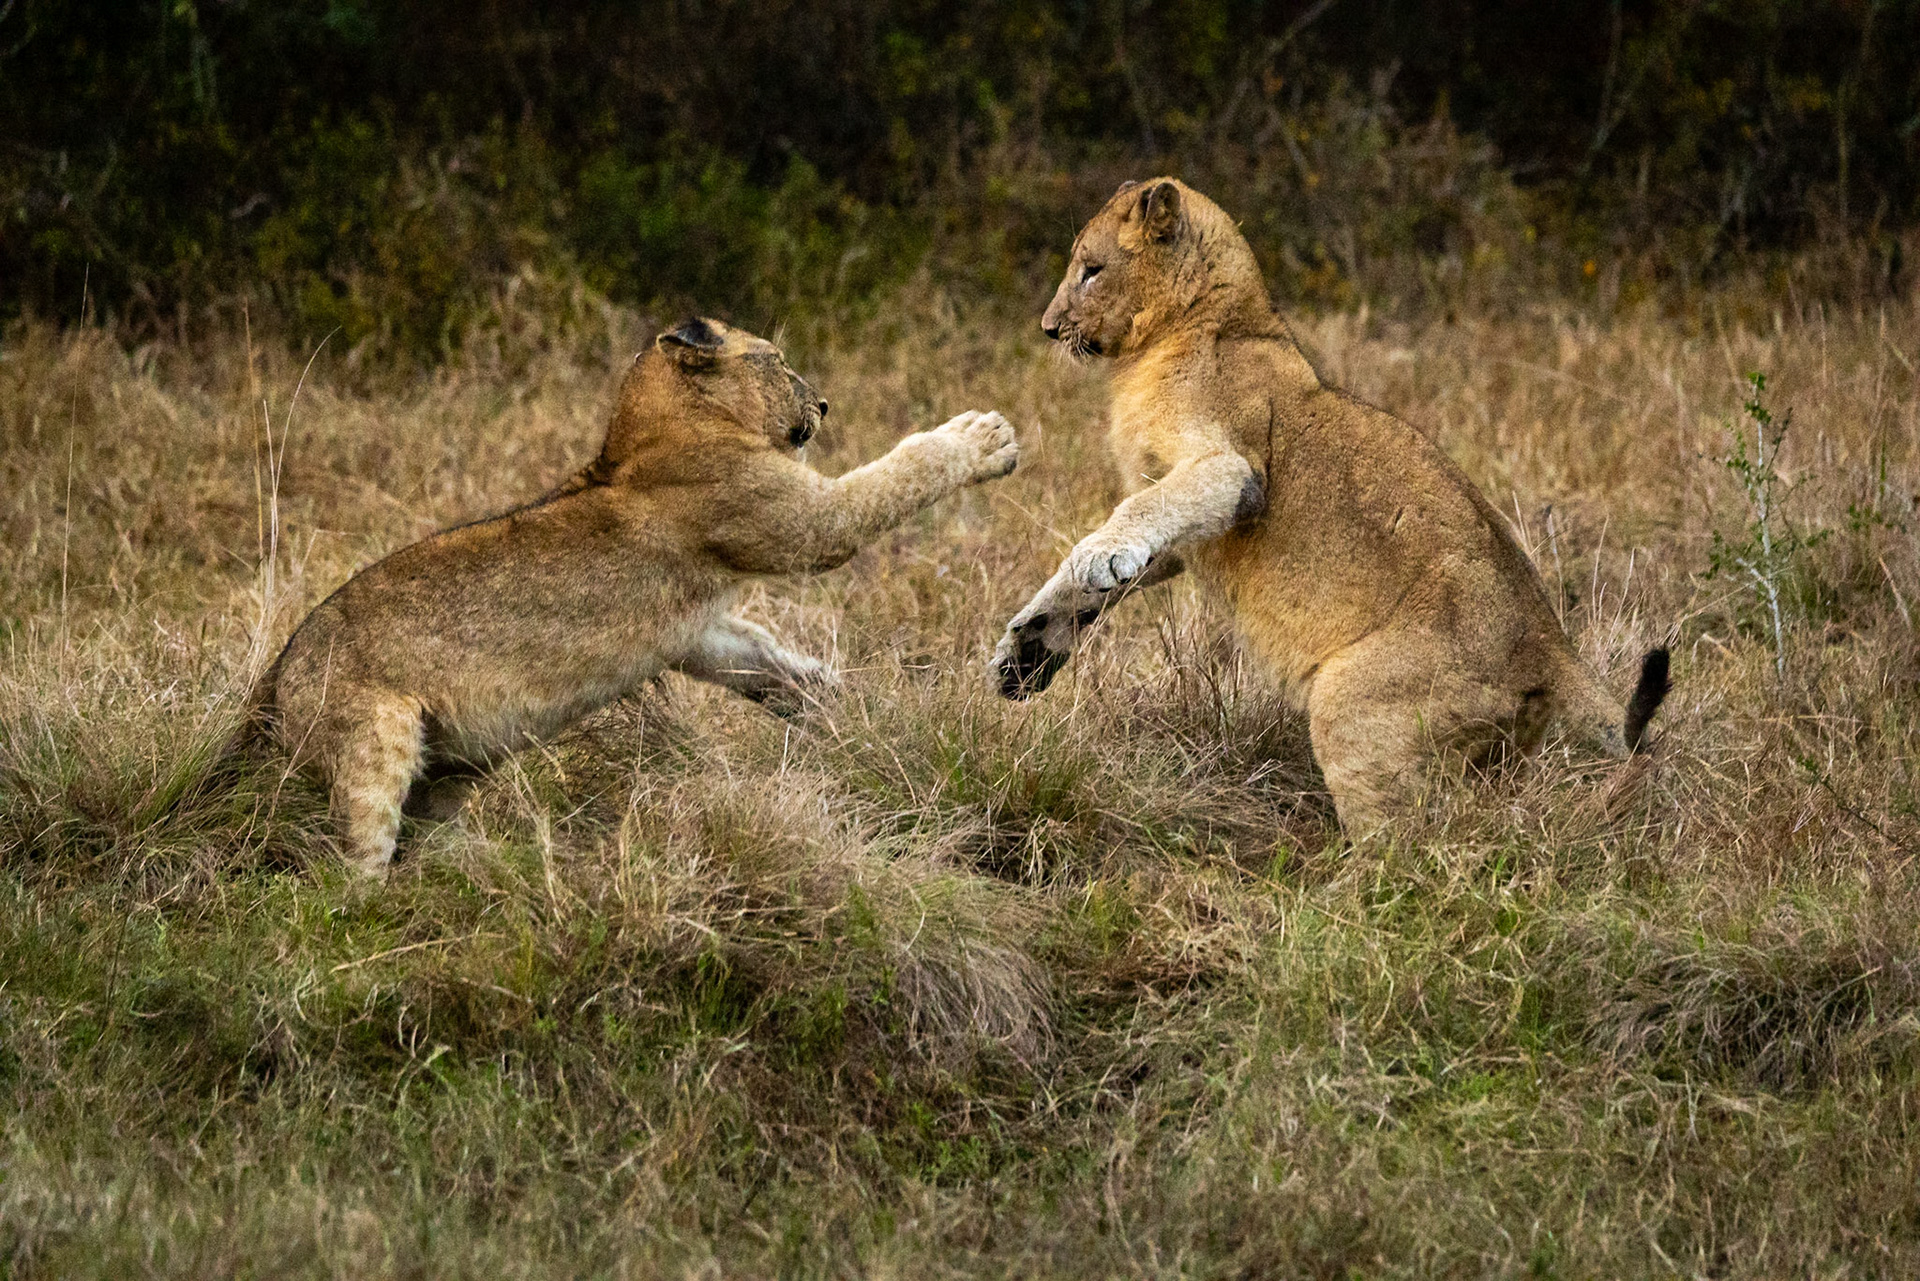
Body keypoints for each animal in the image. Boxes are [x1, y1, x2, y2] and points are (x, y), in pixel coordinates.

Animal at [267, 317, 1019, 875]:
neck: (649, 434)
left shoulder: (694, 628)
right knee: (348, 869)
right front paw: (984, 437)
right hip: (370, 745)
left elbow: (766, 663)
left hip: (443, 772)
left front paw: (845, 706)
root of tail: (277, 678)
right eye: (778, 362)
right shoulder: (801, 522)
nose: (826, 404)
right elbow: (903, 470)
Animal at [989, 178, 1668, 838]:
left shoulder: (1232, 468)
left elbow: (1131, 518)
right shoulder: (1189, 537)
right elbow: (1093, 577)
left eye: (1092, 270)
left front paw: (1099, 558)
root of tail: (1551, 643)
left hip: (1355, 703)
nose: (1049, 327)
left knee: (1417, 841)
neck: (1178, 335)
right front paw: (1026, 651)